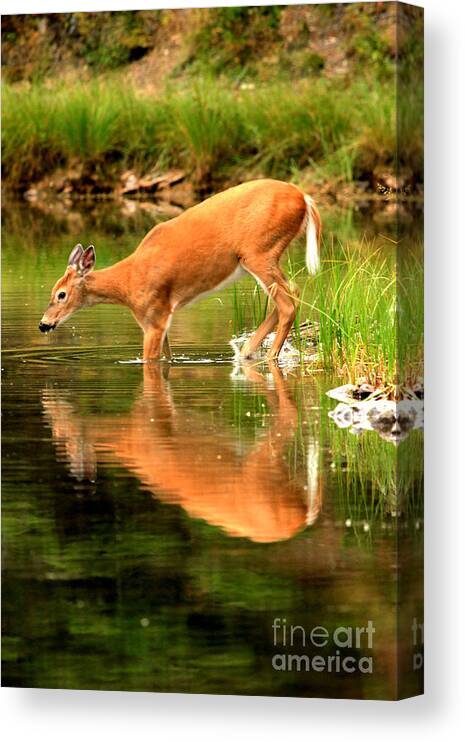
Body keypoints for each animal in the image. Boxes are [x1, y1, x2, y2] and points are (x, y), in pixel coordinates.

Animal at [40, 179, 320, 362]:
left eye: (61, 294)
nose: (43, 324)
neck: (127, 283)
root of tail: (304, 198)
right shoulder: (162, 318)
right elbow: (168, 359)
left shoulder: (154, 315)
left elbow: (150, 362)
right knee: (292, 292)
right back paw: (246, 351)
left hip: (258, 252)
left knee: (287, 302)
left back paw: (266, 357)